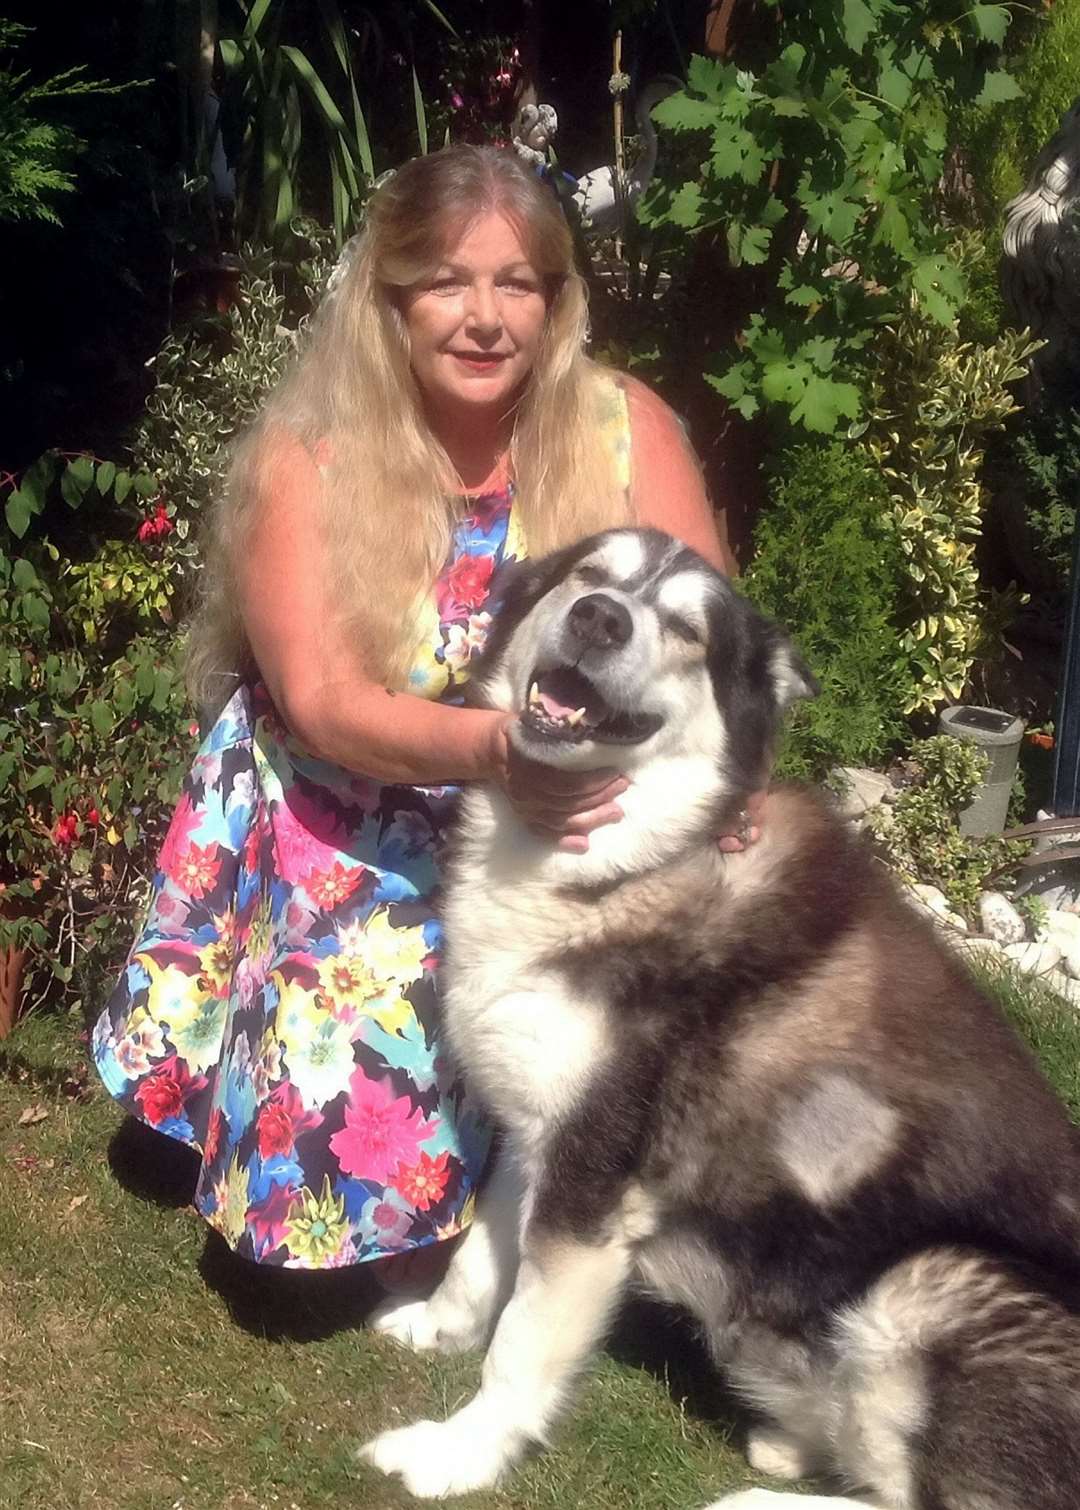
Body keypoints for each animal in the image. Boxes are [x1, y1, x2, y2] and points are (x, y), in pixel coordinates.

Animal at [361, 531, 1080, 1510]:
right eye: (591, 577)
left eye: (686, 630)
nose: (599, 619)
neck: (630, 866)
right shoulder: (549, 1128)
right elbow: (478, 1257)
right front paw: (437, 1328)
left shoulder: (596, 1181)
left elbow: (521, 1344)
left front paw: (458, 1452)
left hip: (930, 1281)